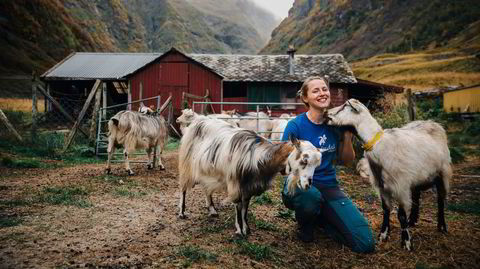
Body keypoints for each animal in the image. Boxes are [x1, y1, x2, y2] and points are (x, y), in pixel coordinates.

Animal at [177, 116, 322, 236]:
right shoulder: (236, 184)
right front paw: (239, 230)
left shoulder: (249, 186)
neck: (258, 158)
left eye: (317, 165)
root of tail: (198, 120)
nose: (307, 185)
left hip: (205, 169)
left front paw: (246, 228)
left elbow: (245, 208)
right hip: (186, 164)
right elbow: (238, 207)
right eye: (304, 160)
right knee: (183, 188)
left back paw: (212, 210)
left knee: (206, 188)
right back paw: (182, 212)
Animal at [324, 99, 452, 251]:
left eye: (344, 106)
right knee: (416, 195)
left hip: (443, 173)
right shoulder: (382, 186)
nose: (326, 113)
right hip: (416, 176)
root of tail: (433, 123)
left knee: (440, 200)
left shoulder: (400, 186)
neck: (378, 144)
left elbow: (401, 215)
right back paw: (413, 220)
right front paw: (383, 234)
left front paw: (406, 241)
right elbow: (385, 210)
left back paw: (441, 226)